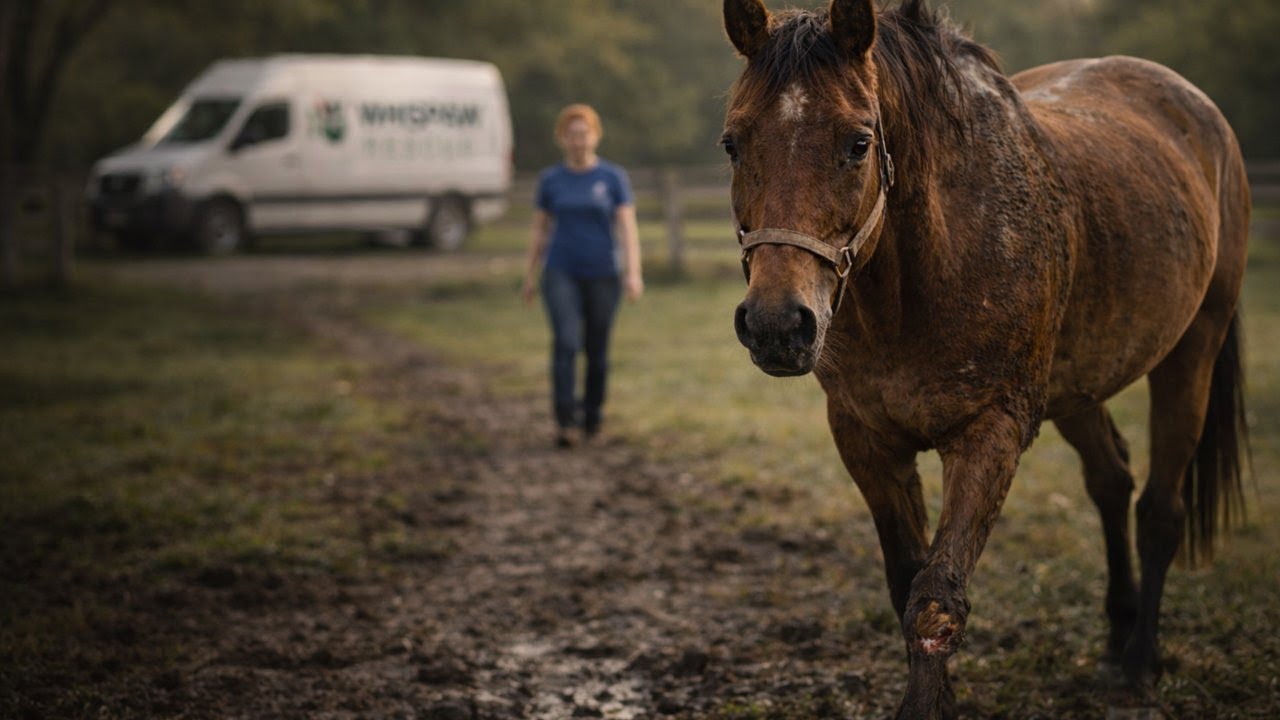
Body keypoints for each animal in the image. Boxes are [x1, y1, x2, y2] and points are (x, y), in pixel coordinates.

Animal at [721, 0, 1250, 717]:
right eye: (732, 143)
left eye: (859, 143)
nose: (778, 325)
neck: (920, 279)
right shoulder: (865, 439)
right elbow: (905, 583)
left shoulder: (990, 432)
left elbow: (935, 601)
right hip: (1075, 386)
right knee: (1111, 481)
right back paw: (1116, 638)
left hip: (1192, 351)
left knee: (1160, 512)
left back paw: (1140, 663)